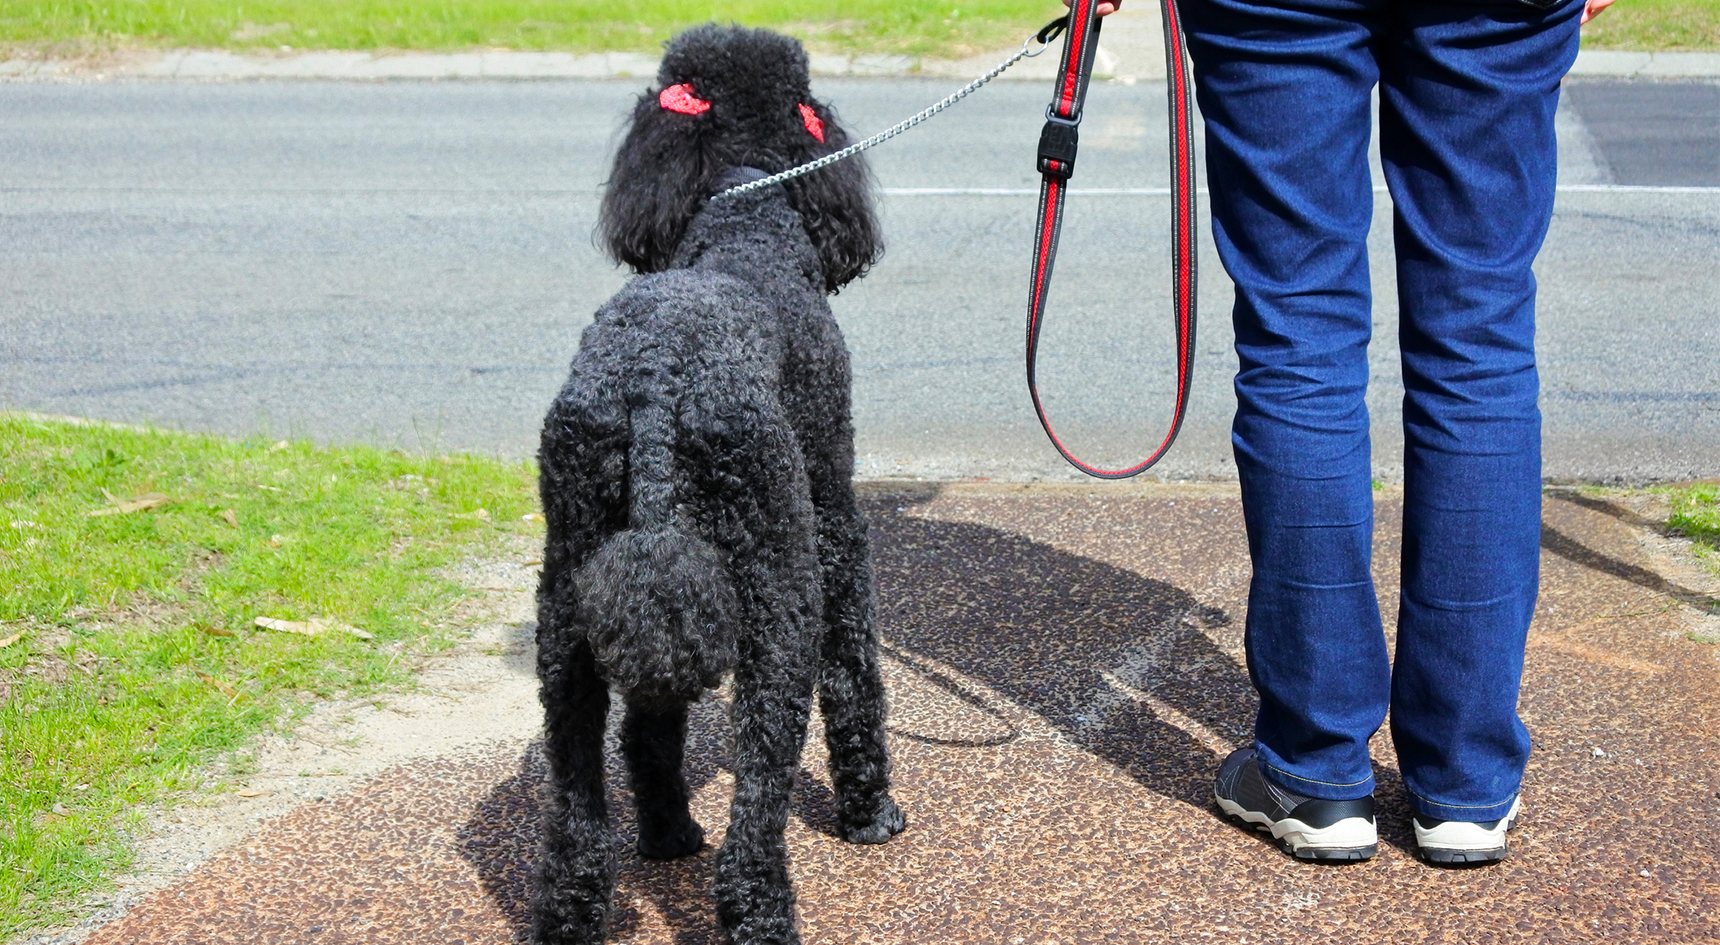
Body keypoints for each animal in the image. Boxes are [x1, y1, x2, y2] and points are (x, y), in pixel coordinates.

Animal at [533, 22, 915, 943]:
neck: (744, 211)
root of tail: (655, 381)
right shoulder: (833, 512)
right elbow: (856, 670)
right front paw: (871, 813)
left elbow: (652, 724)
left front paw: (667, 831)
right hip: (777, 585)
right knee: (762, 787)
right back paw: (763, 910)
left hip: (571, 600)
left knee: (582, 787)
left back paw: (598, 889)